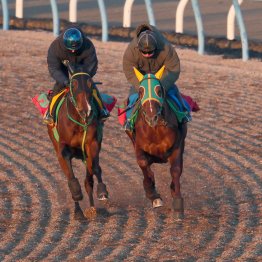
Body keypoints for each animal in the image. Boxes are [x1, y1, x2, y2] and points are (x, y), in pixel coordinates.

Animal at [47, 61, 108, 219]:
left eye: (91, 84)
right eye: (73, 85)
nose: (86, 110)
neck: (79, 122)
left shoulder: (92, 144)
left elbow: (94, 170)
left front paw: (101, 192)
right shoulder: (63, 148)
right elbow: (71, 176)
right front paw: (77, 194)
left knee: (91, 176)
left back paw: (92, 206)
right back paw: (79, 210)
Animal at [126, 66, 186, 216]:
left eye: (158, 90)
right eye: (141, 92)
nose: (152, 117)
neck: (155, 130)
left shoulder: (177, 145)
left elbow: (176, 170)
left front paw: (177, 201)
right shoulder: (138, 146)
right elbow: (143, 165)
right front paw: (153, 195)